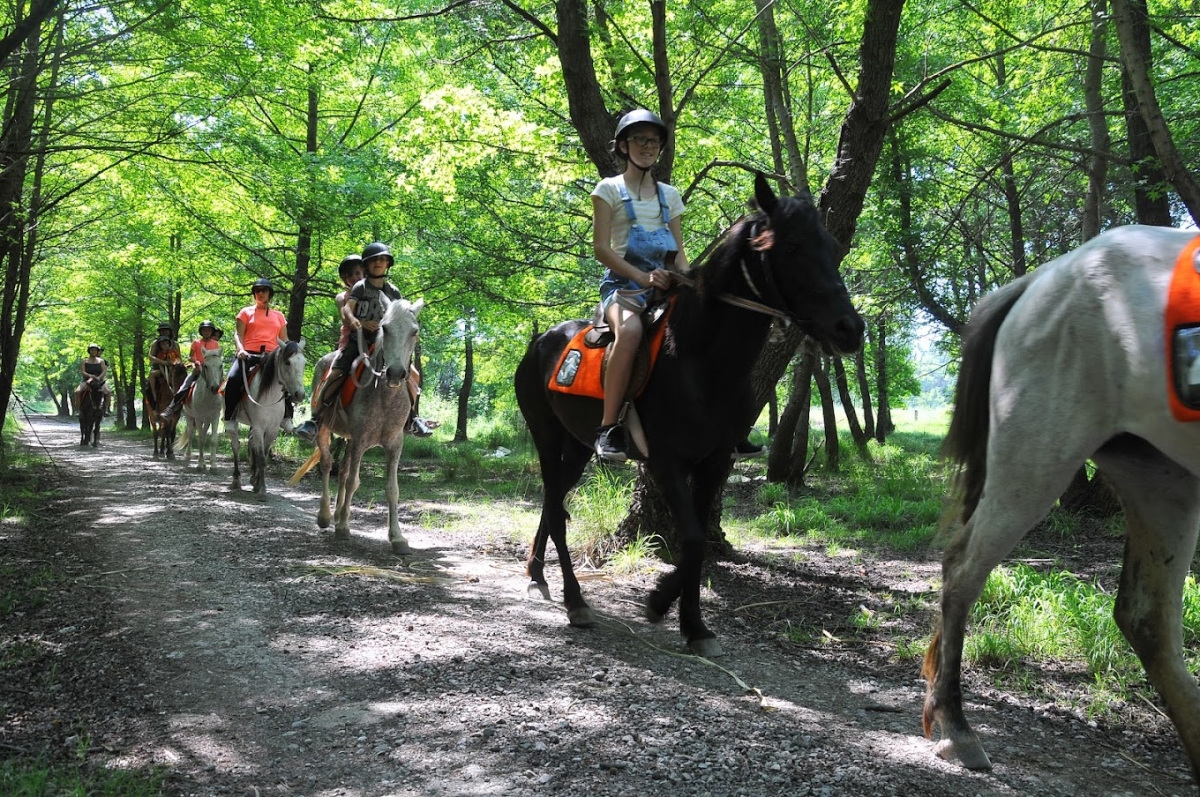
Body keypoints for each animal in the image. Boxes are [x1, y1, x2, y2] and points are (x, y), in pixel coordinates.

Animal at [225, 341, 306, 494]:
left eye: (304, 363)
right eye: (287, 362)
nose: (300, 395)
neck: (269, 397)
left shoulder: (272, 430)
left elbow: (263, 455)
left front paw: (257, 483)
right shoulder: (259, 427)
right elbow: (261, 457)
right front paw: (261, 487)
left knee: (251, 443)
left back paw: (252, 478)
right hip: (235, 423)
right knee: (236, 445)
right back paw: (236, 480)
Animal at [308, 298, 424, 553]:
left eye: (414, 332)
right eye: (385, 328)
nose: (395, 373)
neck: (384, 396)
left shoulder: (394, 444)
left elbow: (392, 489)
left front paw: (397, 538)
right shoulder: (360, 439)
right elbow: (354, 482)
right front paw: (343, 528)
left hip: (349, 439)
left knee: (341, 471)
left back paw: (339, 514)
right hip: (325, 429)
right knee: (327, 464)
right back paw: (325, 516)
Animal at [513, 173, 864, 657]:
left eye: (831, 245)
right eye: (792, 246)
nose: (850, 329)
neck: (701, 360)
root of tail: (539, 342)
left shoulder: (713, 462)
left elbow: (695, 546)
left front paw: (693, 624)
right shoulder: (667, 462)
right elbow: (695, 539)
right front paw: (661, 603)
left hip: (578, 445)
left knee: (554, 503)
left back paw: (536, 575)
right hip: (545, 434)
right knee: (554, 503)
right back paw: (575, 600)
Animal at [922, 225, 1200, 785]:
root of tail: (1040, 278)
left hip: (1161, 478)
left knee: (1147, 618)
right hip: (1036, 460)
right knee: (962, 569)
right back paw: (959, 730)